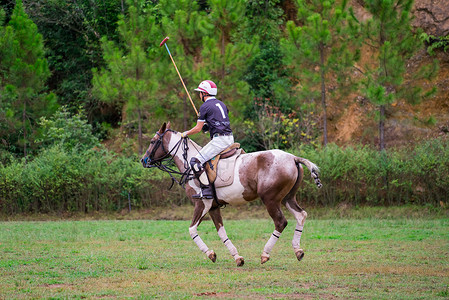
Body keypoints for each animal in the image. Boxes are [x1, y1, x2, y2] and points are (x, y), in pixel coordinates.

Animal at [142, 122, 320, 268]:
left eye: (152, 141)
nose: (144, 160)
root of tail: (294, 158)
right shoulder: (213, 207)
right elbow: (221, 232)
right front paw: (237, 257)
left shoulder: (202, 203)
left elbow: (192, 229)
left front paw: (211, 254)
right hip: (288, 197)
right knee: (301, 215)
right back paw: (298, 250)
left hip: (270, 199)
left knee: (280, 222)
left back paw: (265, 254)